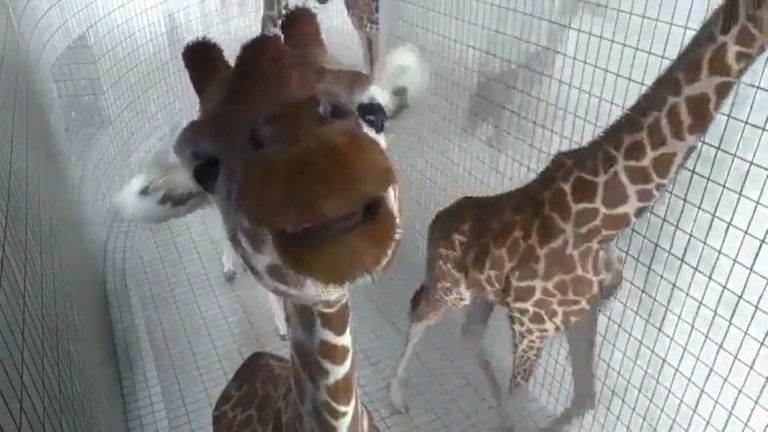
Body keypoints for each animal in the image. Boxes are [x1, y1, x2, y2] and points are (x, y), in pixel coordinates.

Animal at [388, 1, 768, 431]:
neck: (604, 222)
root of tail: (437, 221)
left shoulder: (582, 314)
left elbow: (584, 398)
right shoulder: (533, 324)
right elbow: (520, 404)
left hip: (481, 293)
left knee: (468, 335)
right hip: (451, 285)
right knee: (419, 313)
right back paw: (397, 397)